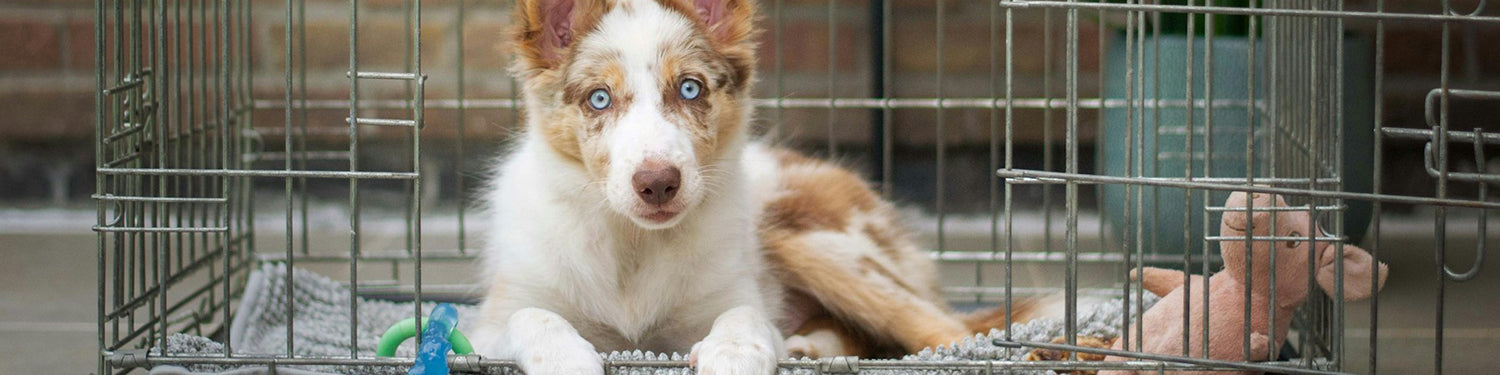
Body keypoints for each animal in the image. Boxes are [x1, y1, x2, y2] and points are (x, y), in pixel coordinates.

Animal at [474, 1, 1038, 373]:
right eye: (598, 99)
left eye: (690, 88)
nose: (658, 185)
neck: (632, 246)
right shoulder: (493, 320)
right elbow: (532, 316)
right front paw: (564, 356)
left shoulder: (734, 294)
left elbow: (745, 316)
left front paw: (732, 354)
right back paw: (811, 347)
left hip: (808, 237)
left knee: (951, 332)